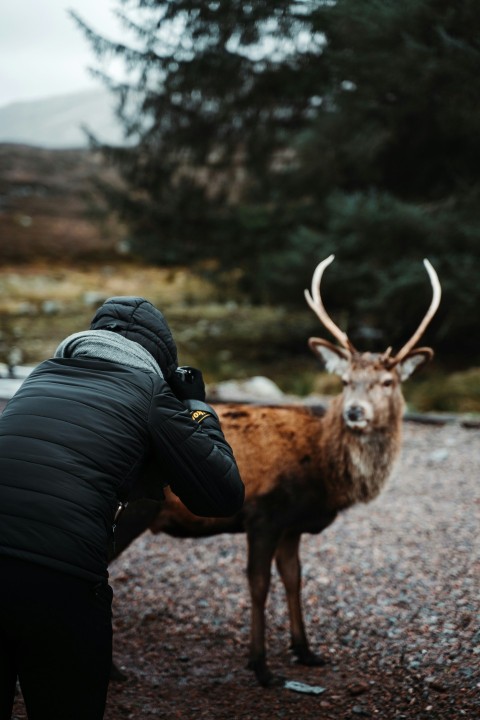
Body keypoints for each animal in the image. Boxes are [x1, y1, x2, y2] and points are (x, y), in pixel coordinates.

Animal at [112, 255, 441, 687]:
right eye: (345, 381)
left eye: (388, 381)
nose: (355, 412)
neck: (322, 471)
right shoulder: (263, 514)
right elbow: (259, 584)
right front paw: (261, 665)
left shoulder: (292, 525)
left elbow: (294, 579)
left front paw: (305, 650)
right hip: (130, 510)